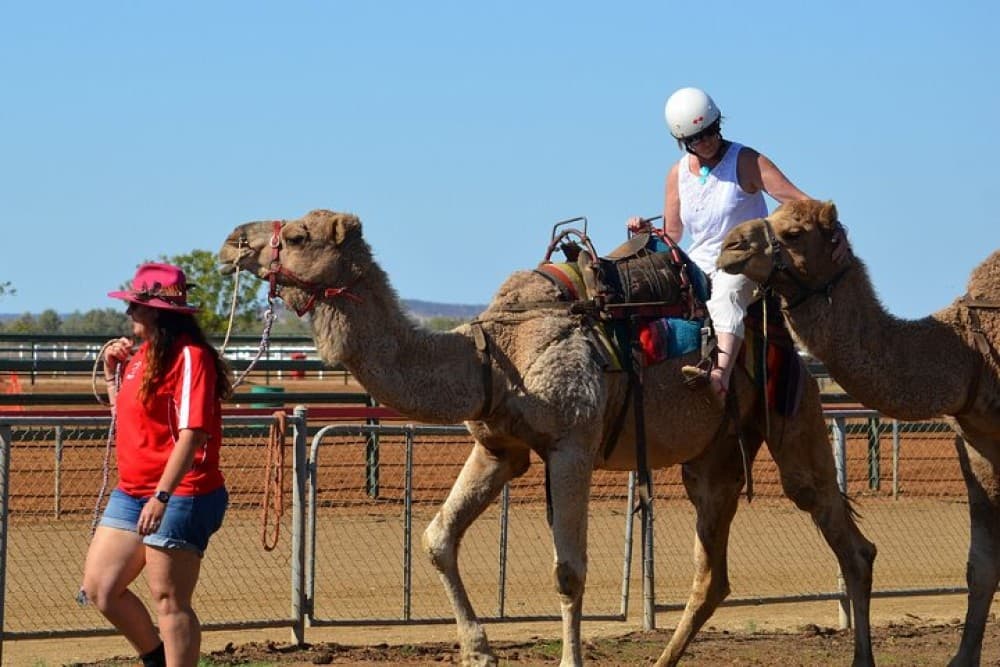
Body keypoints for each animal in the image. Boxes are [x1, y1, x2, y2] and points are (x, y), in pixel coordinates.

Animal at [218, 209, 877, 667]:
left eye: (298, 236)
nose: (231, 243)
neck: (491, 354)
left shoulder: (571, 446)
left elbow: (569, 571)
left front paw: (565, 658)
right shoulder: (499, 448)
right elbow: (437, 538)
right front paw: (478, 651)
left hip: (793, 413)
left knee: (845, 535)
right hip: (712, 459)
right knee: (713, 572)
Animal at [717, 199, 1000, 667]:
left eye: (794, 233)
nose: (730, 246)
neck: (969, 355)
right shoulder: (975, 445)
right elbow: (981, 565)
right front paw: (962, 659)